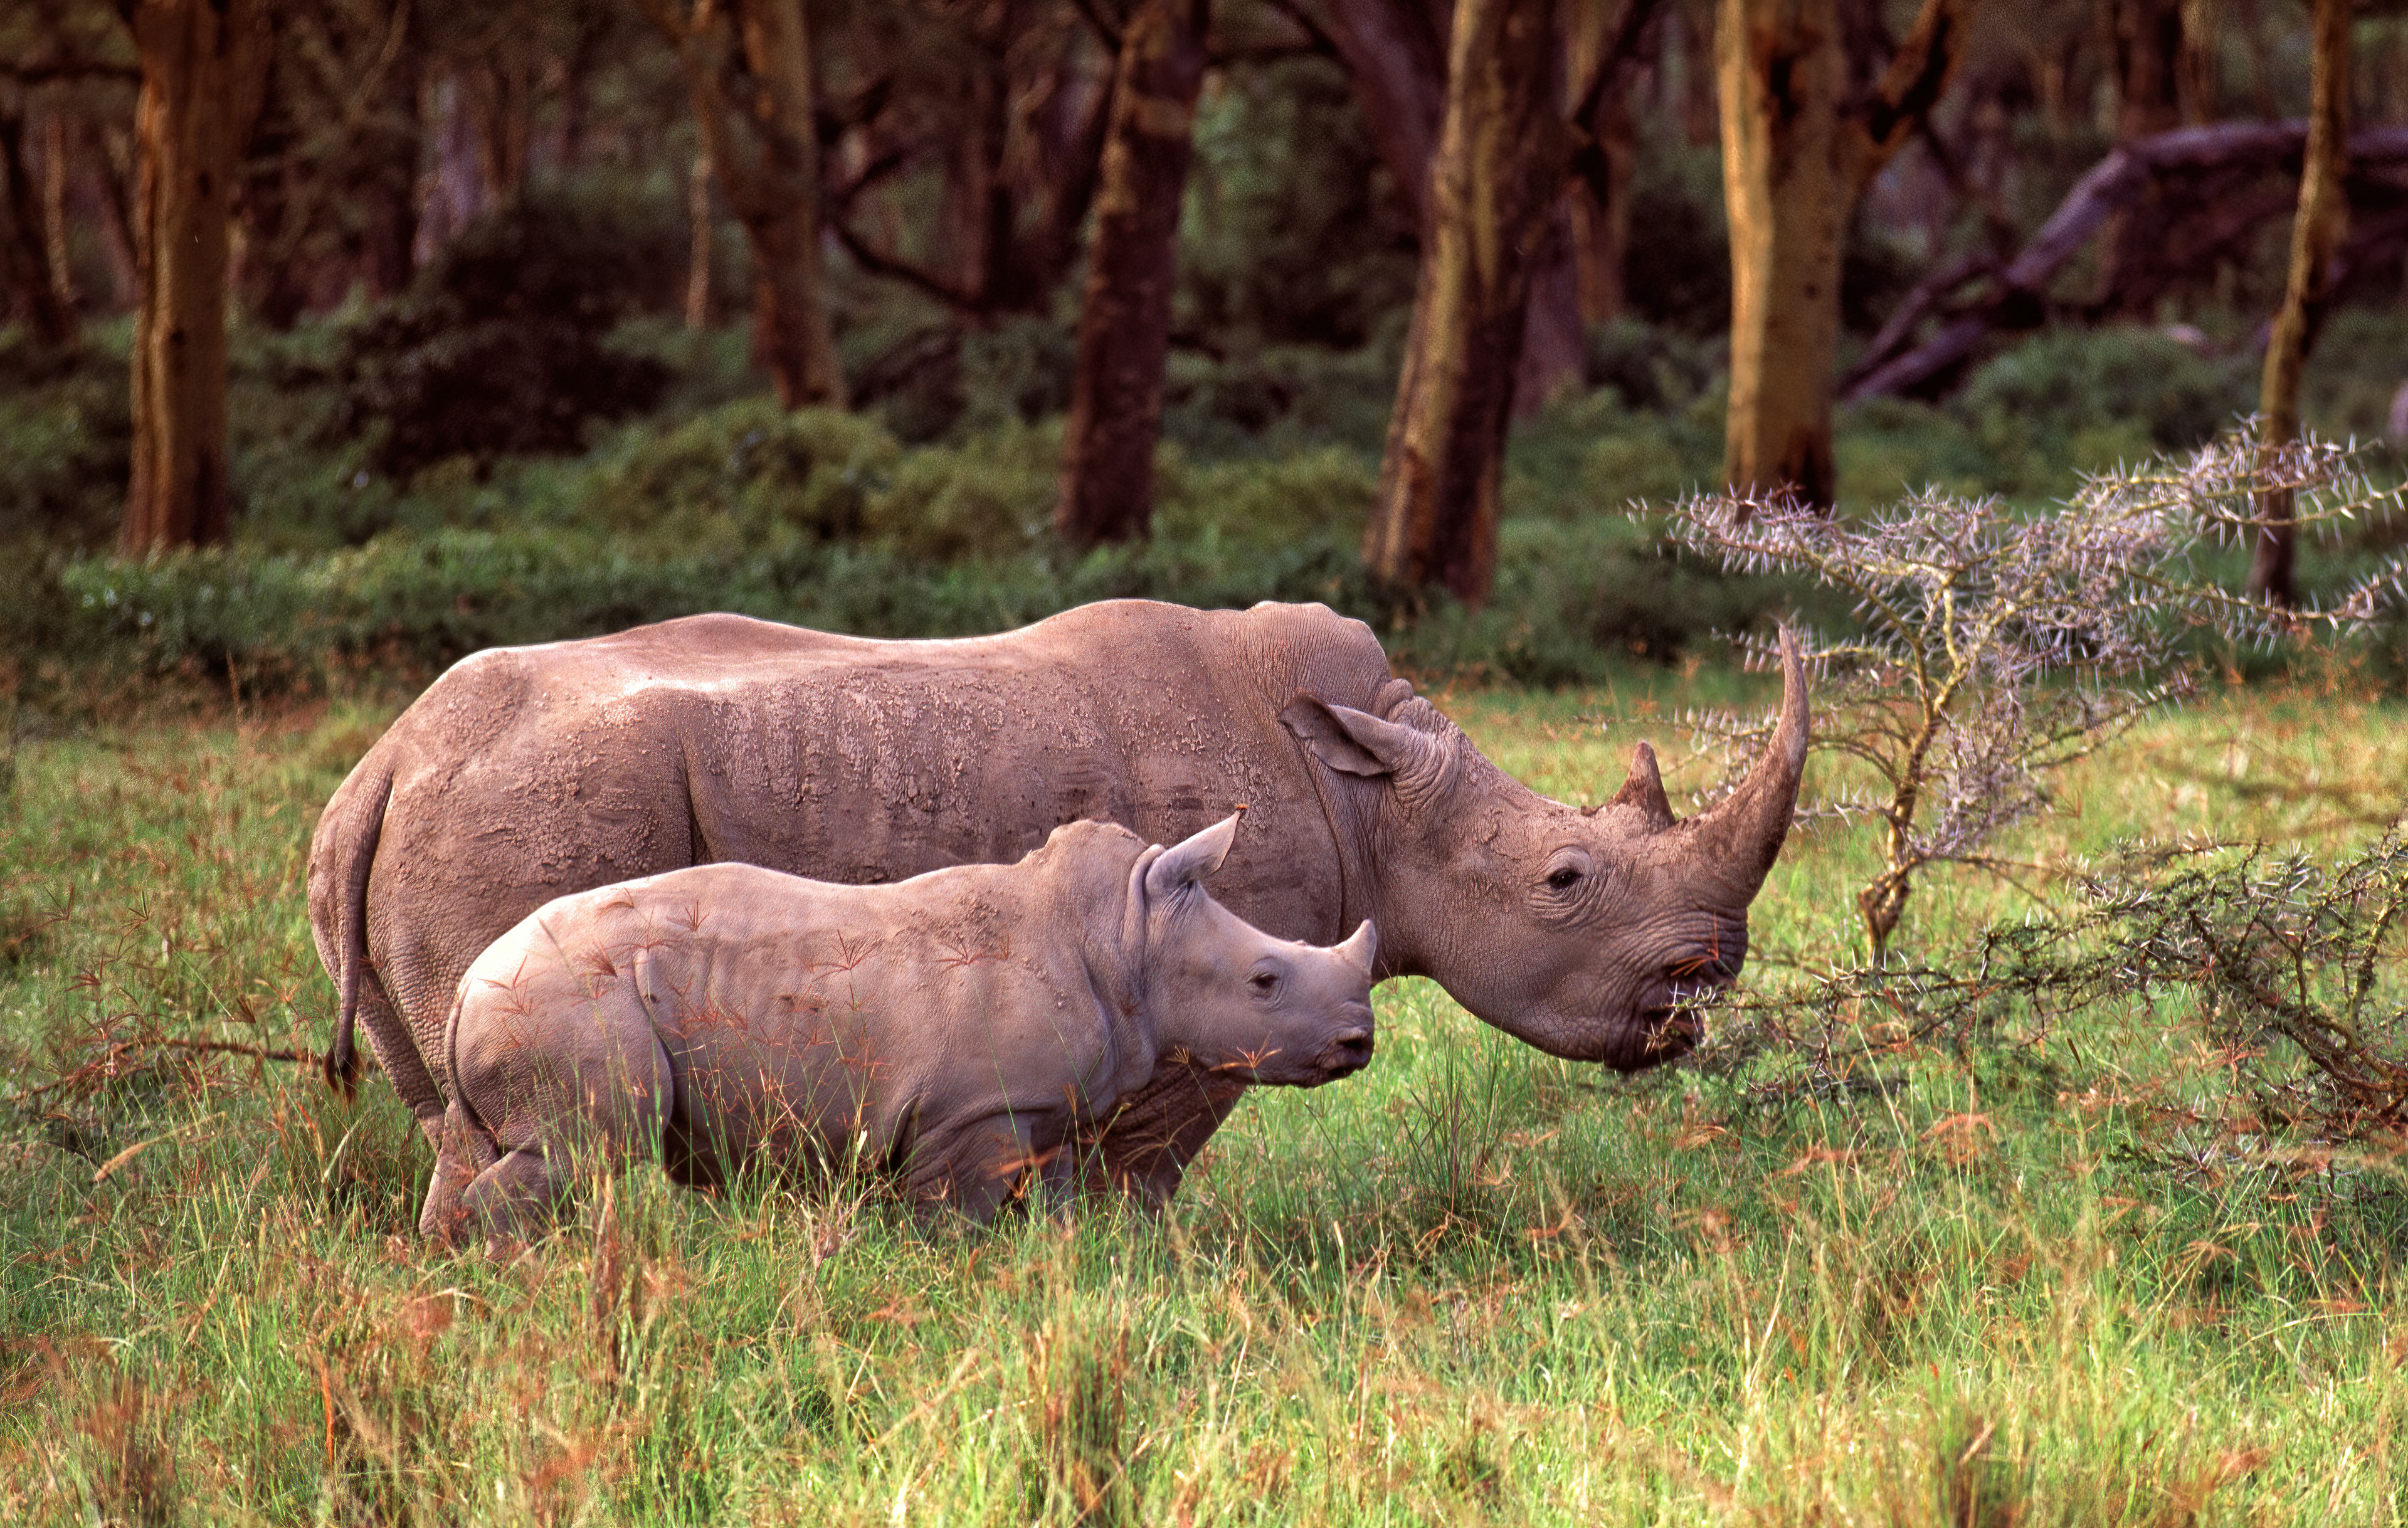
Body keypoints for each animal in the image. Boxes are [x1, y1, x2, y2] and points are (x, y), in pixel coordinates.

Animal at [427, 814, 1377, 1241]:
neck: (1127, 934)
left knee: (474, 1148)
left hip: (522, 1001)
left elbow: (1060, 1208)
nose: (1359, 1044)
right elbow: (955, 1221)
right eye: (1265, 980)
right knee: (584, 1152)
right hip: (566, 1000)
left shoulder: (1045, 1107)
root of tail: (469, 980)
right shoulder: (974, 1114)